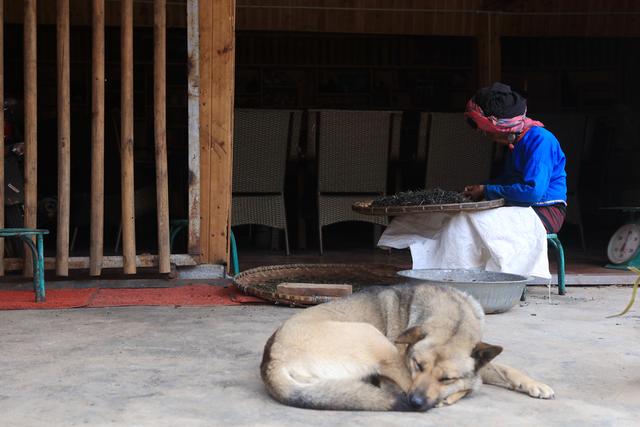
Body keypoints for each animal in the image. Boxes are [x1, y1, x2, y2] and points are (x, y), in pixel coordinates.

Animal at [260, 284, 556, 412]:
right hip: (375, 340)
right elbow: (476, 380)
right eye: (417, 365)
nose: (416, 404)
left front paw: (534, 384)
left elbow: (503, 368)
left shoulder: (478, 355)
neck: (456, 316)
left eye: (446, 378)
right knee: (398, 386)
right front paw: (462, 390)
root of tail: (273, 362)